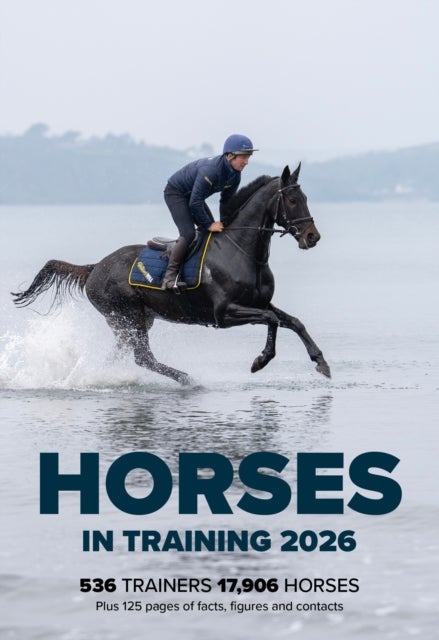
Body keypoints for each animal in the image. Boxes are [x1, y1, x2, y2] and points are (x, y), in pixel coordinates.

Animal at [12, 164, 331, 385]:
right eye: (292, 200)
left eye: (304, 196)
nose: (312, 236)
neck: (242, 250)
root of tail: (95, 267)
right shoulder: (224, 313)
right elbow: (272, 320)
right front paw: (260, 361)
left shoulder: (259, 302)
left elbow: (293, 321)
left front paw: (321, 363)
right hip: (127, 315)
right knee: (143, 357)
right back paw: (188, 378)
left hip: (133, 321)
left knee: (121, 354)